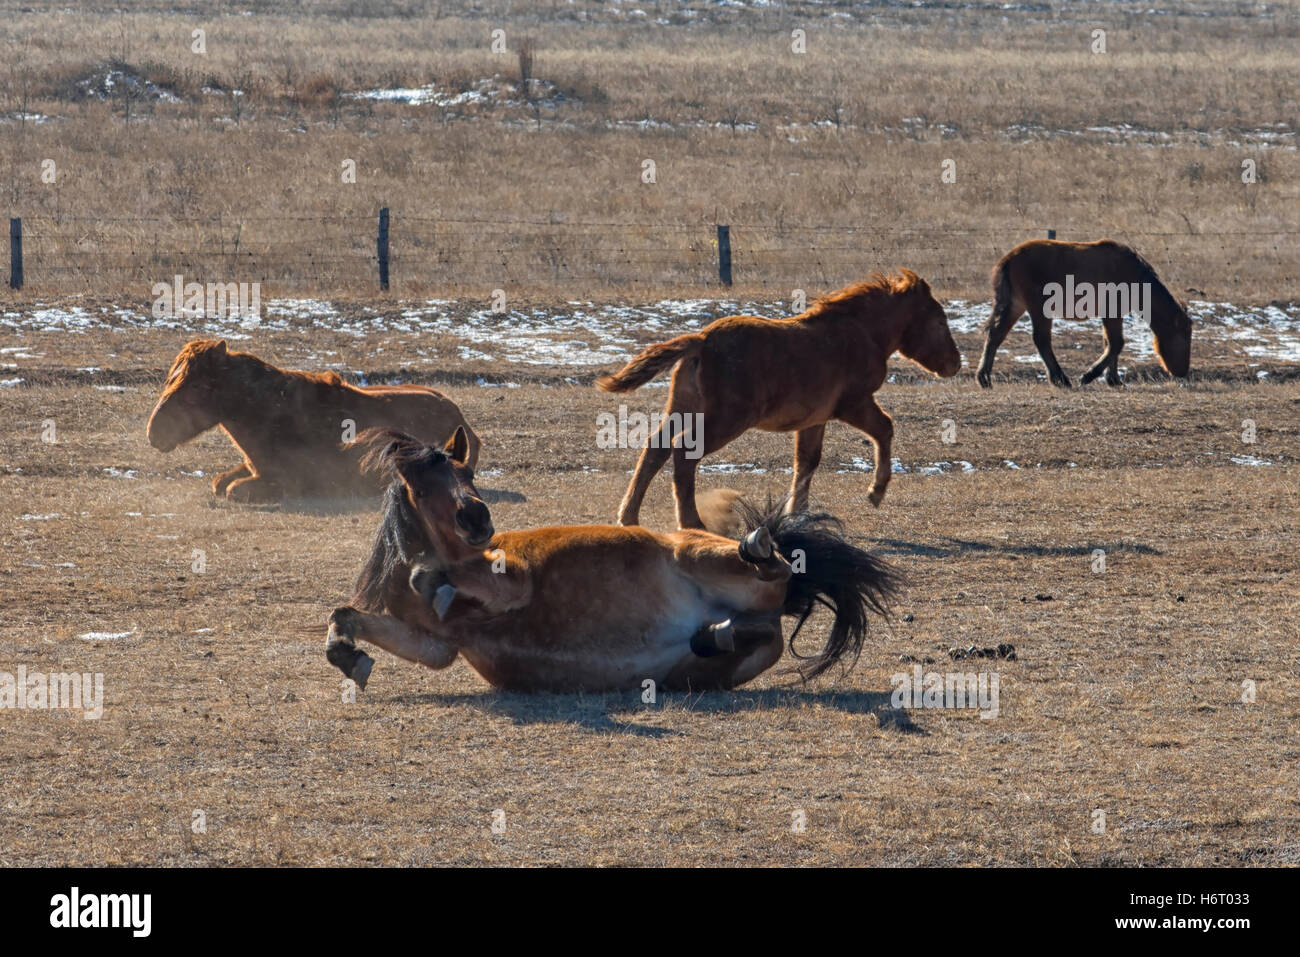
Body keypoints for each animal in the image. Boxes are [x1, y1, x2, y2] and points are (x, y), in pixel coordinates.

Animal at [325, 429, 899, 691]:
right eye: (422, 488)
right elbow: (348, 616)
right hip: (722, 656)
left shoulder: (511, 581)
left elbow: (442, 579)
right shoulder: (440, 646)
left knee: (772, 566)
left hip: (698, 554)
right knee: (757, 631)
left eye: (468, 474)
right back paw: (715, 633)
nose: (476, 520)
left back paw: (753, 549)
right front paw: (349, 657)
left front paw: (433, 581)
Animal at [595, 267, 961, 530]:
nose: (955, 364)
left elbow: (807, 461)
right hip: (726, 420)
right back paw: (692, 523)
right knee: (684, 452)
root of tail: (701, 339)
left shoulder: (814, 419)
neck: (861, 332)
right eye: (940, 321)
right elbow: (884, 429)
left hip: (683, 408)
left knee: (655, 448)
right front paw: (876, 492)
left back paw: (629, 517)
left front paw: (797, 514)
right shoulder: (854, 404)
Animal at [977, 239, 1190, 390]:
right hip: (1038, 308)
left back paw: (984, 378)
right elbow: (1116, 344)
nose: (1183, 371)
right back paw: (1060, 378)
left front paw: (1113, 379)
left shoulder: (1113, 314)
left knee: (995, 335)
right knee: (1041, 340)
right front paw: (1090, 376)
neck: (1134, 276)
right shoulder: (1112, 311)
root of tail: (1008, 259)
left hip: (1016, 305)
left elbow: (1110, 344)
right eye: (1183, 336)